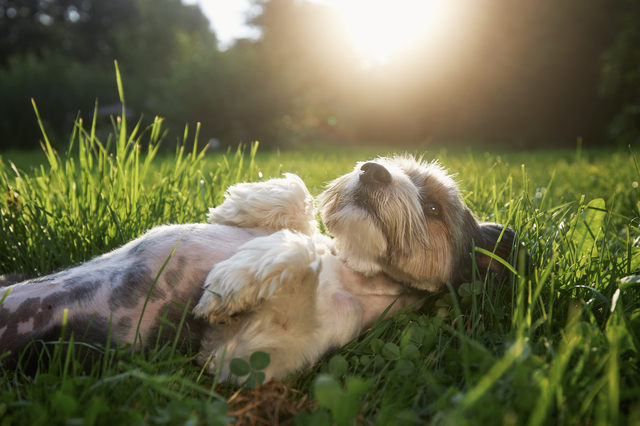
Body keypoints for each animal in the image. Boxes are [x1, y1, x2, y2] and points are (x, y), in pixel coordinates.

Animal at [0, 155, 520, 382]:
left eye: (432, 208)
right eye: (393, 163)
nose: (373, 169)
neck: (354, 267)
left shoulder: (236, 355)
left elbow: (298, 254)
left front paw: (231, 283)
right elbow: (299, 201)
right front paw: (244, 205)